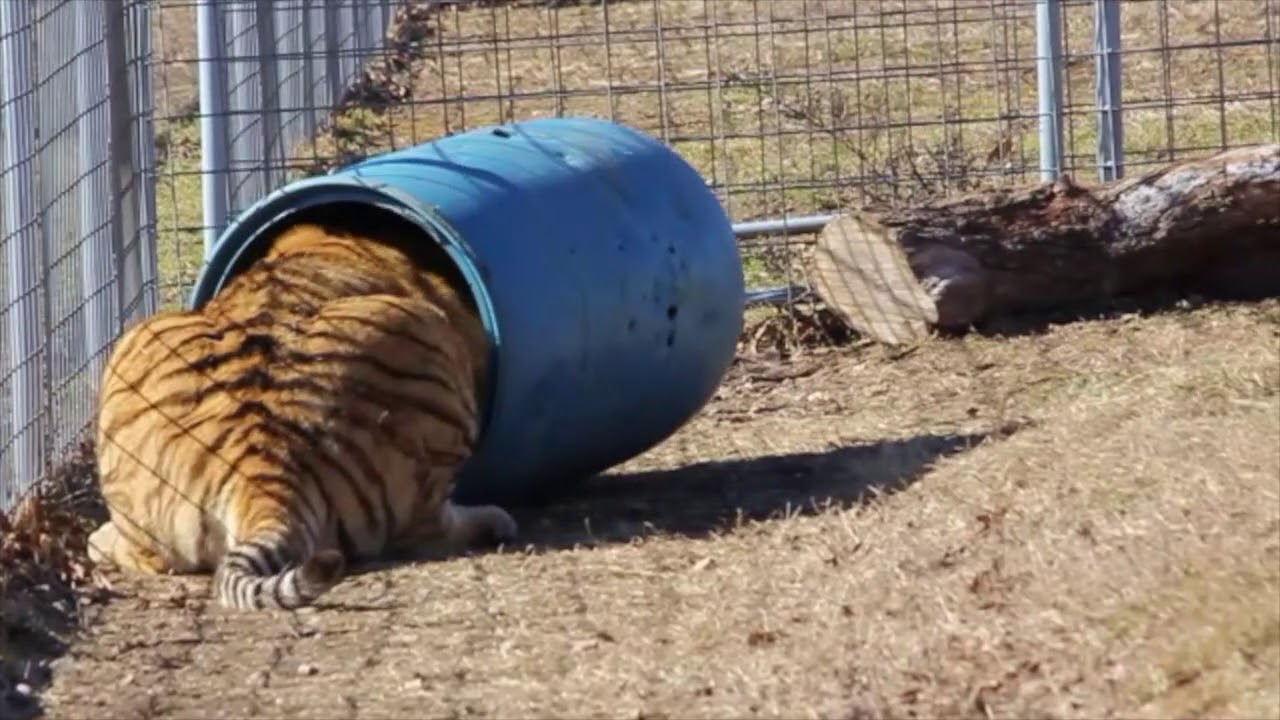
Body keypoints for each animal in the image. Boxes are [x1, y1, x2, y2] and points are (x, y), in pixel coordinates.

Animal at [88, 214, 517, 610]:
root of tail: (262, 476)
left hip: (133, 350)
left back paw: (97, 537)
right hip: (425, 333)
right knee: (425, 531)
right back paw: (494, 522)